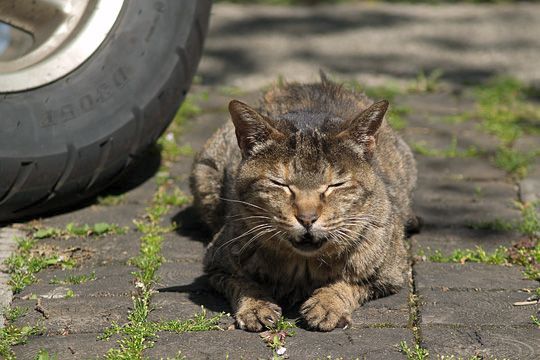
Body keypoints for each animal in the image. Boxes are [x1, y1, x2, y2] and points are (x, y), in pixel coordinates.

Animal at [190, 73, 418, 332]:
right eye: (280, 183)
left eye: (335, 184)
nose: (307, 218)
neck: (303, 267)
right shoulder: (216, 264)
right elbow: (243, 283)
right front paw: (255, 305)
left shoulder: (390, 274)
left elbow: (348, 283)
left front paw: (328, 303)